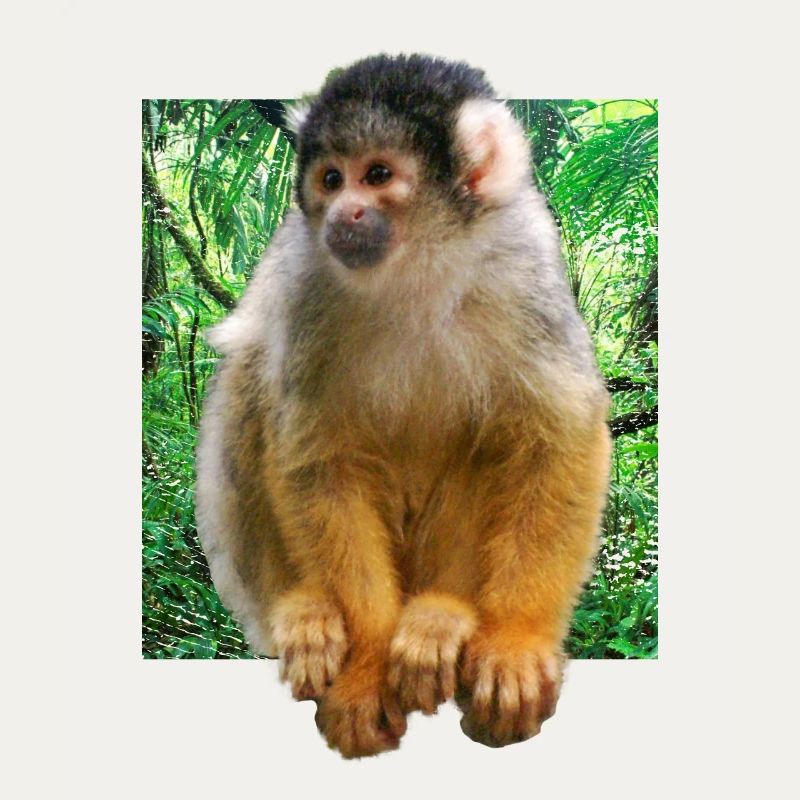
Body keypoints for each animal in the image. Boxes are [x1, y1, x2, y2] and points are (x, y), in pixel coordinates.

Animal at [195, 54, 611, 757]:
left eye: (379, 175)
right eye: (331, 179)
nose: (344, 213)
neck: (418, 266)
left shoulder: (523, 267)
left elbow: (558, 440)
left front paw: (516, 639)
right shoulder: (307, 282)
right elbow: (319, 460)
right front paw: (365, 668)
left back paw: (443, 615)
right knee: (252, 370)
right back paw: (301, 610)